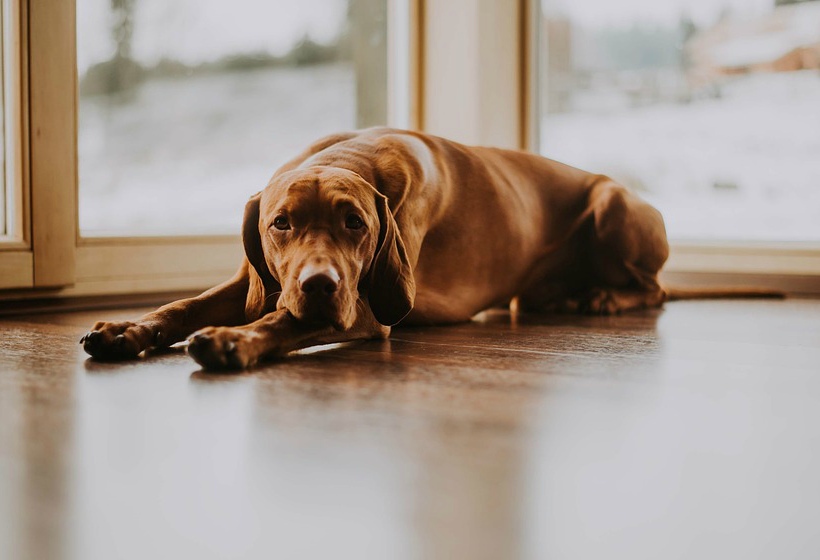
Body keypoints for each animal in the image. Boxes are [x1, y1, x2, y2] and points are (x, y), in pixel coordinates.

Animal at [81, 127, 781, 369]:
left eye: (355, 223)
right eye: (281, 224)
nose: (319, 284)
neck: (351, 154)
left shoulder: (366, 308)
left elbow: (281, 319)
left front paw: (235, 340)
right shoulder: (257, 276)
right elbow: (186, 305)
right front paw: (126, 329)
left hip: (612, 202)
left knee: (654, 288)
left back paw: (604, 297)